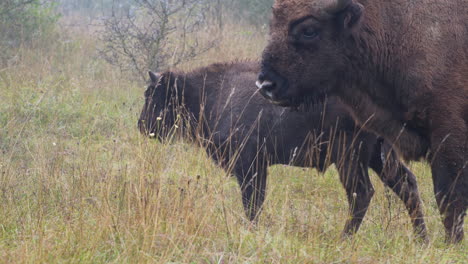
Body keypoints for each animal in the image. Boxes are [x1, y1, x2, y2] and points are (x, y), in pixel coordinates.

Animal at [138, 61, 428, 239]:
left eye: (151, 95)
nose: (141, 125)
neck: (209, 92)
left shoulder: (250, 166)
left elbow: (252, 203)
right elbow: (255, 202)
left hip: (349, 157)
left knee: (362, 193)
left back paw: (343, 238)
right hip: (378, 158)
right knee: (408, 187)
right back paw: (421, 239)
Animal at [256, 0, 468, 243]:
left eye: (308, 30)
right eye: (273, 23)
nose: (266, 85)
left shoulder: (448, 137)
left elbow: (449, 199)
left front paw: (451, 244)